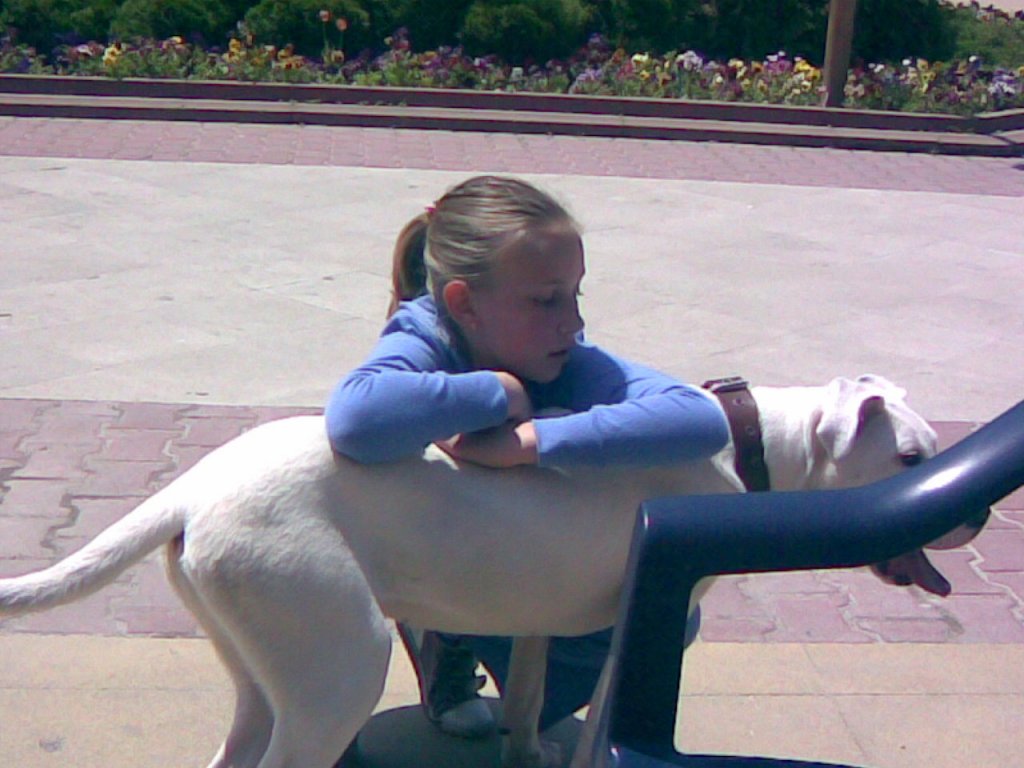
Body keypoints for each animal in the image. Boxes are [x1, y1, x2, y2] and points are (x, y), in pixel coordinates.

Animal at [0, 375, 988, 768]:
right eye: (909, 457)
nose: (978, 511)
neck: (747, 445)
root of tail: (193, 487)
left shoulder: (540, 618)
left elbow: (526, 699)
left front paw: (523, 748)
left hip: (262, 663)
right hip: (336, 664)